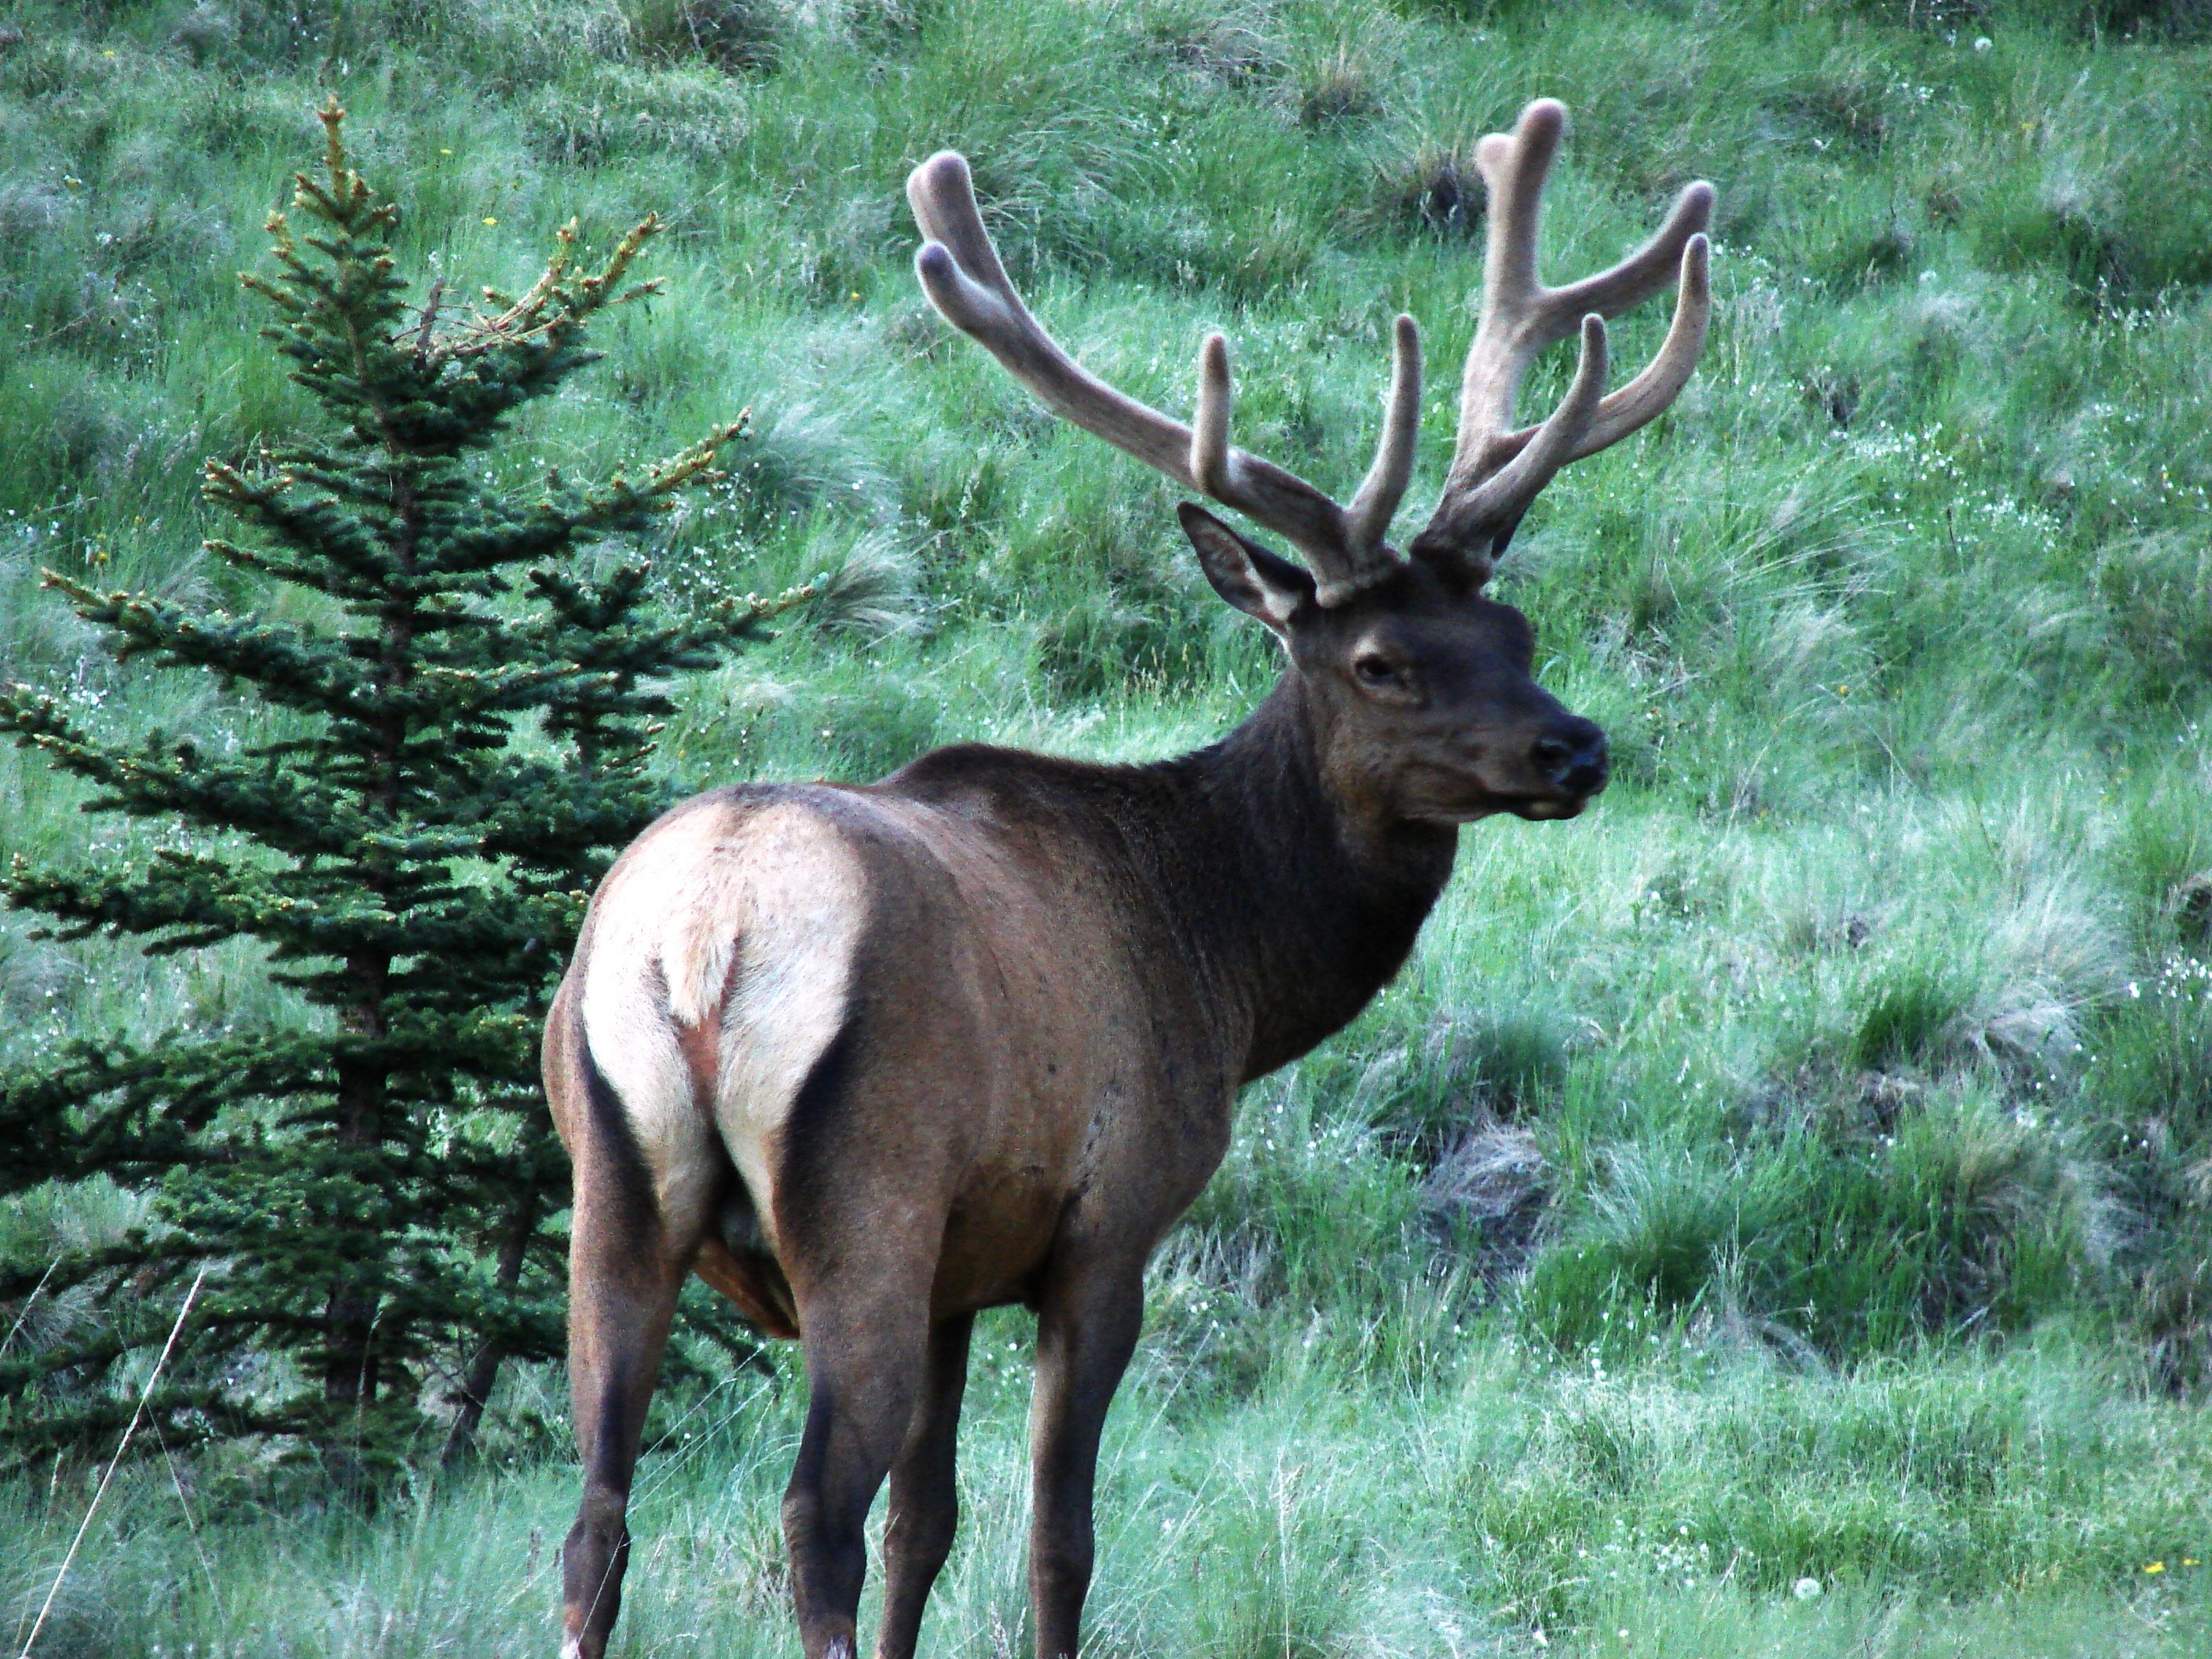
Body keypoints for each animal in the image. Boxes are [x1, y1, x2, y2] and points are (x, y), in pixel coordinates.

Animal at [546, 98, 1712, 1659]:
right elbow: (1055, 1540)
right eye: (1380, 662)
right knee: (811, 1517)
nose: (1574, 747)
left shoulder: (962, 1269)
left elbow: (932, 1526)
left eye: (1514, 628)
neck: (1230, 968)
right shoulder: (1106, 1227)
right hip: (865, 1190)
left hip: (611, 1183)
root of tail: (705, 933)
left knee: (598, 1523)